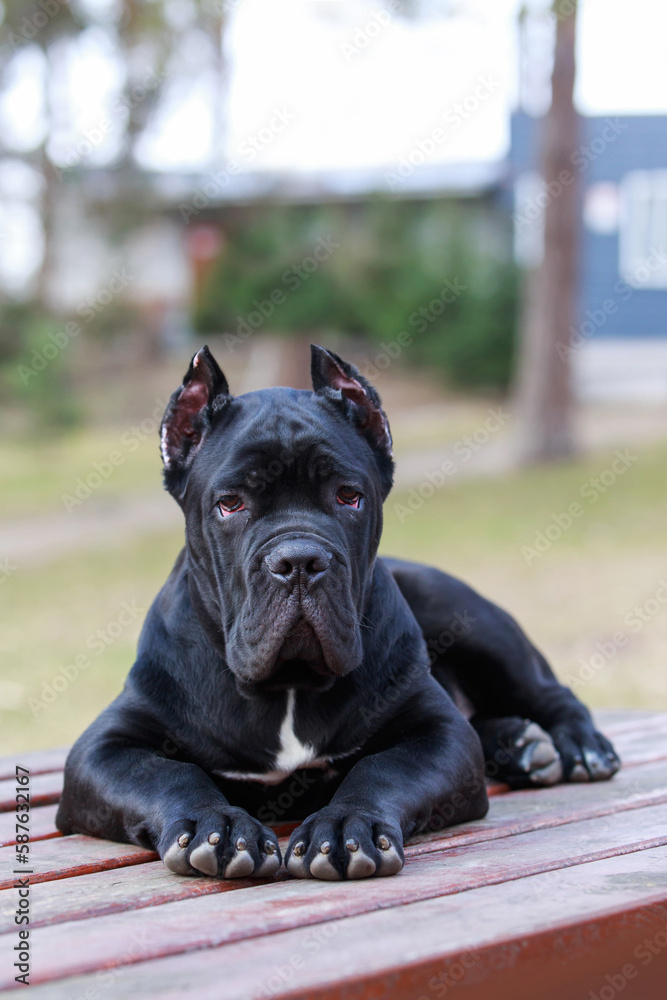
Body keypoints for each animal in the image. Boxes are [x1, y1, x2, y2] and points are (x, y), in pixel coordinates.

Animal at [56, 348, 620, 880]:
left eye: (349, 496)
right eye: (230, 504)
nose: (299, 560)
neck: (287, 685)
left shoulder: (440, 733)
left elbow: (381, 768)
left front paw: (347, 826)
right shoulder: (102, 749)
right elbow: (170, 773)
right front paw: (218, 826)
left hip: (467, 618)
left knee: (549, 693)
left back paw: (575, 747)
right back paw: (521, 744)